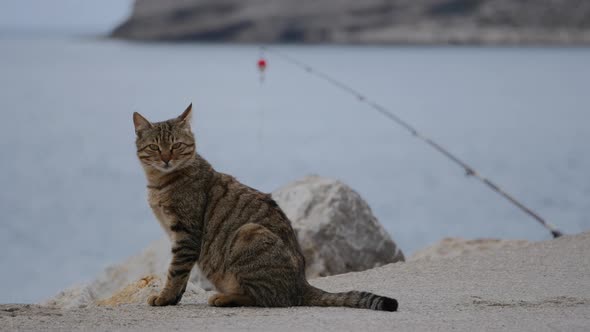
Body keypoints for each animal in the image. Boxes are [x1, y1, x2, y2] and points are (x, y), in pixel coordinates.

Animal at [134, 104, 400, 312]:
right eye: (155, 147)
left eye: (176, 145)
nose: (166, 158)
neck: (159, 183)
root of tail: (301, 283)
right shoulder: (178, 235)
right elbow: (181, 274)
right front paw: (173, 298)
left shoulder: (186, 234)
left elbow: (176, 271)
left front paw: (166, 297)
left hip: (248, 233)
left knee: (266, 298)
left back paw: (225, 298)